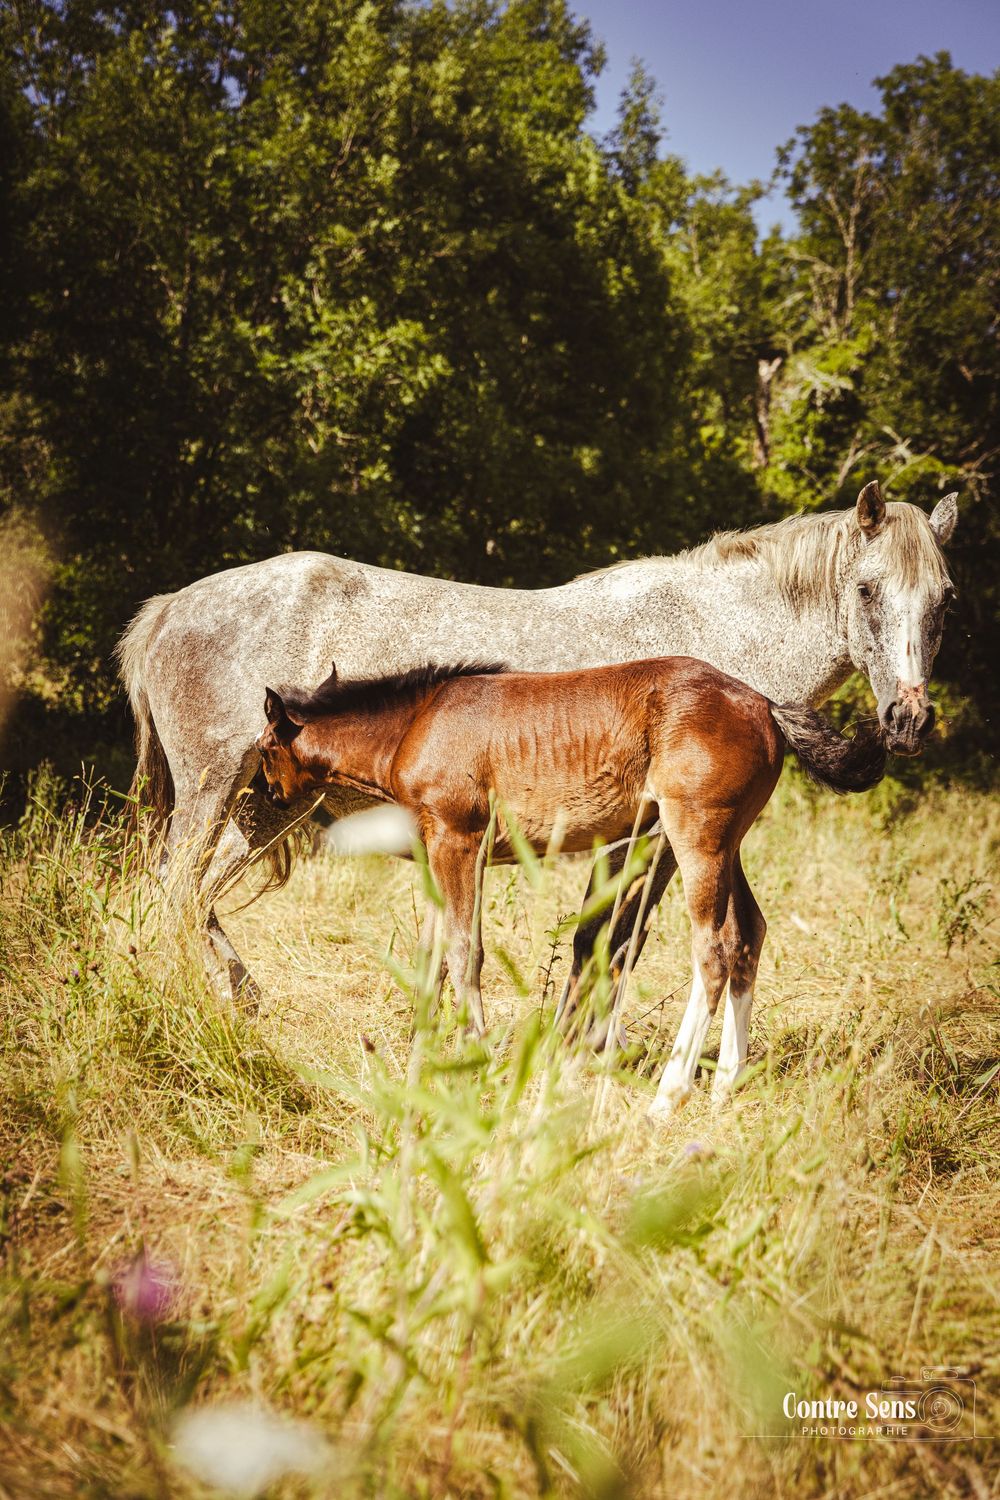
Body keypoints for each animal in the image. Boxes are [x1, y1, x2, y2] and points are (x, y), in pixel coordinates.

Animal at [116, 480, 957, 1015]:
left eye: (944, 599)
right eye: (867, 590)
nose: (908, 720)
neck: (716, 637)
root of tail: (169, 609)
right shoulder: (648, 840)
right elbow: (610, 943)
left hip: (265, 809)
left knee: (194, 897)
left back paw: (237, 998)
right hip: (214, 793)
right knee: (173, 892)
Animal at [254, 656, 886, 1114]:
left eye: (264, 749)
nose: (269, 795)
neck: (415, 724)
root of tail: (767, 707)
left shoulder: (459, 841)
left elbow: (464, 951)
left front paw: (475, 1058)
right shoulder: (435, 850)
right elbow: (430, 955)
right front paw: (422, 1054)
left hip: (696, 835)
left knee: (713, 950)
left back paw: (669, 1094)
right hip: (726, 842)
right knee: (748, 932)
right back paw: (724, 1083)